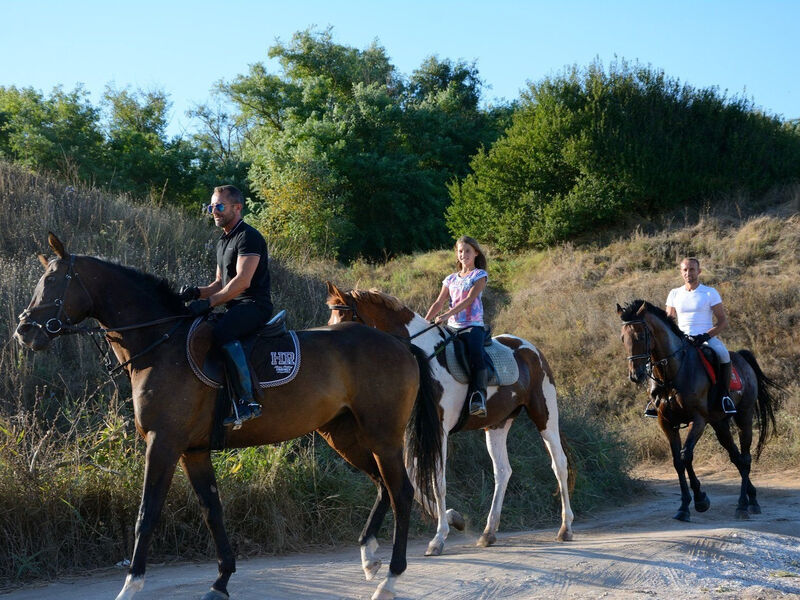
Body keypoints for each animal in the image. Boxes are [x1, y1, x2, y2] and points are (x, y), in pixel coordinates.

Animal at [14, 233, 443, 600]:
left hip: (383, 435)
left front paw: (131, 585)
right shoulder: (193, 451)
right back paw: (370, 559)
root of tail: (400, 344)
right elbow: (212, 511)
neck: (159, 345)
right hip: (343, 435)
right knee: (383, 486)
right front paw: (220, 581)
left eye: (53, 281)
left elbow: (147, 513)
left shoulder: (163, 443)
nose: (24, 331)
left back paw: (389, 579)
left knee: (402, 492)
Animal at [326, 282, 575, 556]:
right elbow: (412, 480)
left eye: (345, 319)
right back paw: (489, 533)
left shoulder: (439, 430)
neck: (421, 356)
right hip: (497, 425)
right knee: (502, 471)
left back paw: (565, 528)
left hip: (545, 415)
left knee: (559, 464)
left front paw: (438, 538)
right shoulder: (414, 431)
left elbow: (438, 481)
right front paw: (455, 518)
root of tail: (532, 349)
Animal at [617, 299, 780, 522]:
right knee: (735, 456)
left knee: (745, 458)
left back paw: (743, 505)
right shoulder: (666, 422)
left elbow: (686, 455)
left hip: (743, 417)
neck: (672, 373)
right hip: (719, 423)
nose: (635, 375)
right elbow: (678, 461)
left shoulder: (698, 420)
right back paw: (752, 498)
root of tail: (742, 358)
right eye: (623, 338)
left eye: (641, 336)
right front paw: (685, 506)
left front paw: (700, 500)